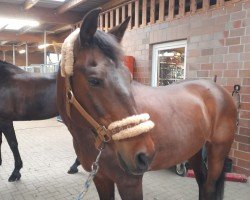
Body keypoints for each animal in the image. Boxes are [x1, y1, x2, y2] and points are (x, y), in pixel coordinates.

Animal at [56, 8, 236, 199]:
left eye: (129, 77)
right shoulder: (101, 178)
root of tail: (219, 90)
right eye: (94, 80)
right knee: (202, 183)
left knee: (209, 186)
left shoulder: (130, 183)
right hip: (194, 151)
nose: (145, 155)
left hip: (217, 153)